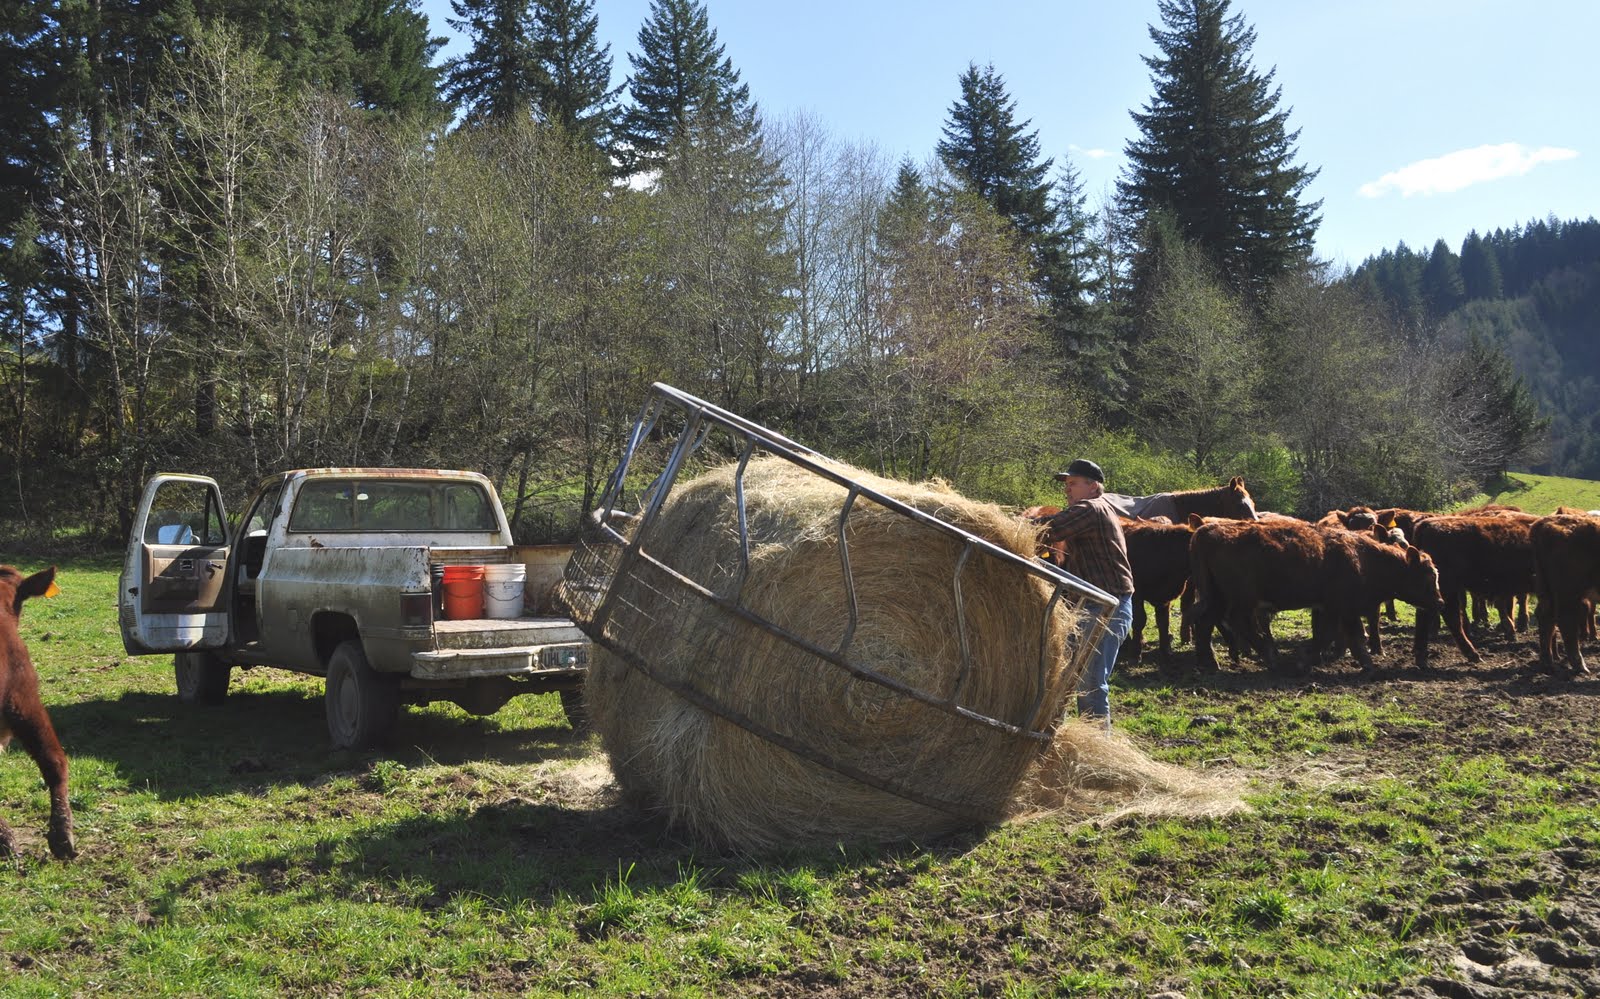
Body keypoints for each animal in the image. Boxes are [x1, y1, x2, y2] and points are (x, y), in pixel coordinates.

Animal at [1188, 519, 1444, 675]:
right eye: (1429, 575)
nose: (1439, 602)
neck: (1363, 558)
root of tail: (1206, 532)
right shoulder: (1344, 608)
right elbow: (1345, 636)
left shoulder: (1330, 609)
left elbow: (1334, 635)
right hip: (1240, 599)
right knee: (1237, 622)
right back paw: (1270, 658)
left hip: (1217, 597)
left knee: (1204, 621)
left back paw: (1209, 663)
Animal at [1534, 514, 1600, 674]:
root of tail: (1545, 521)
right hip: (1568, 593)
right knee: (1566, 621)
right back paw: (1579, 665)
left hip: (1547, 591)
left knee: (1545, 617)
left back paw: (1547, 663)